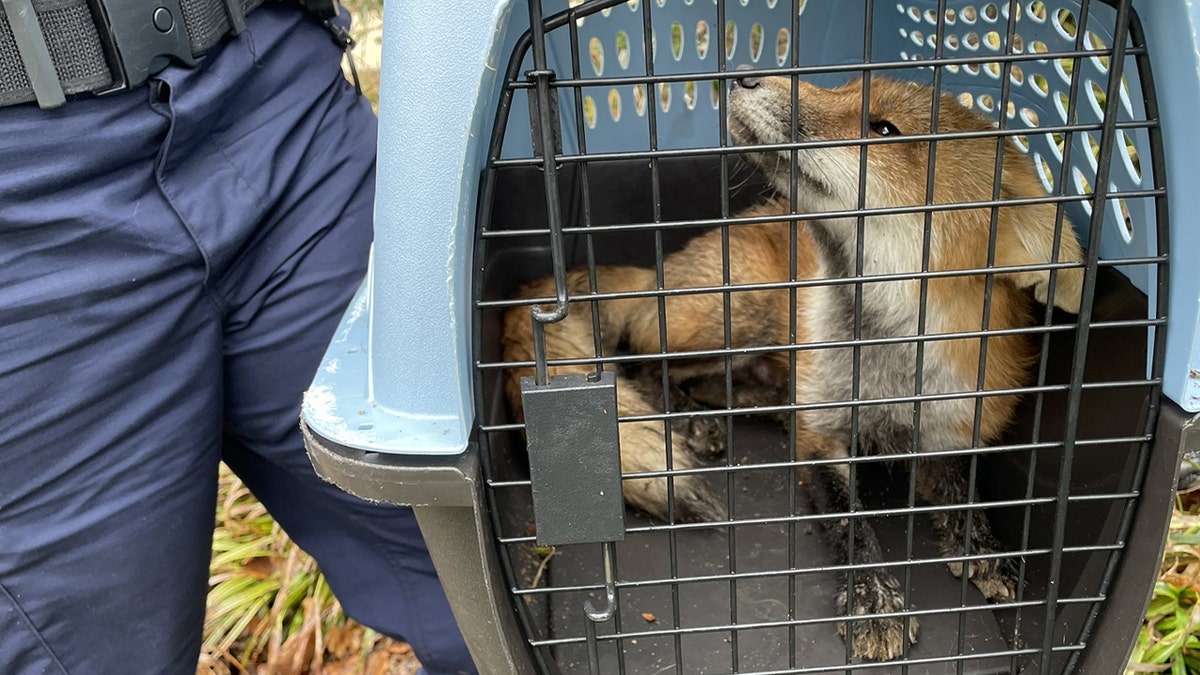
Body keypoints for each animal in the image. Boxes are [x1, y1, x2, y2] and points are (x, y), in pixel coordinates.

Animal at [501, 74, 1084, 658]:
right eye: (845, 84)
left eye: (884, 129)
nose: (746, 75)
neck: (885, 370)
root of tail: (660, 271)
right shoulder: (821, 436)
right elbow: (851, 523)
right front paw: (874, 598)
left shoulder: (951, 427)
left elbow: (965, 492)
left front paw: (983, 547)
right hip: (739, 313)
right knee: (645, 364)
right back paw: (692, 422)